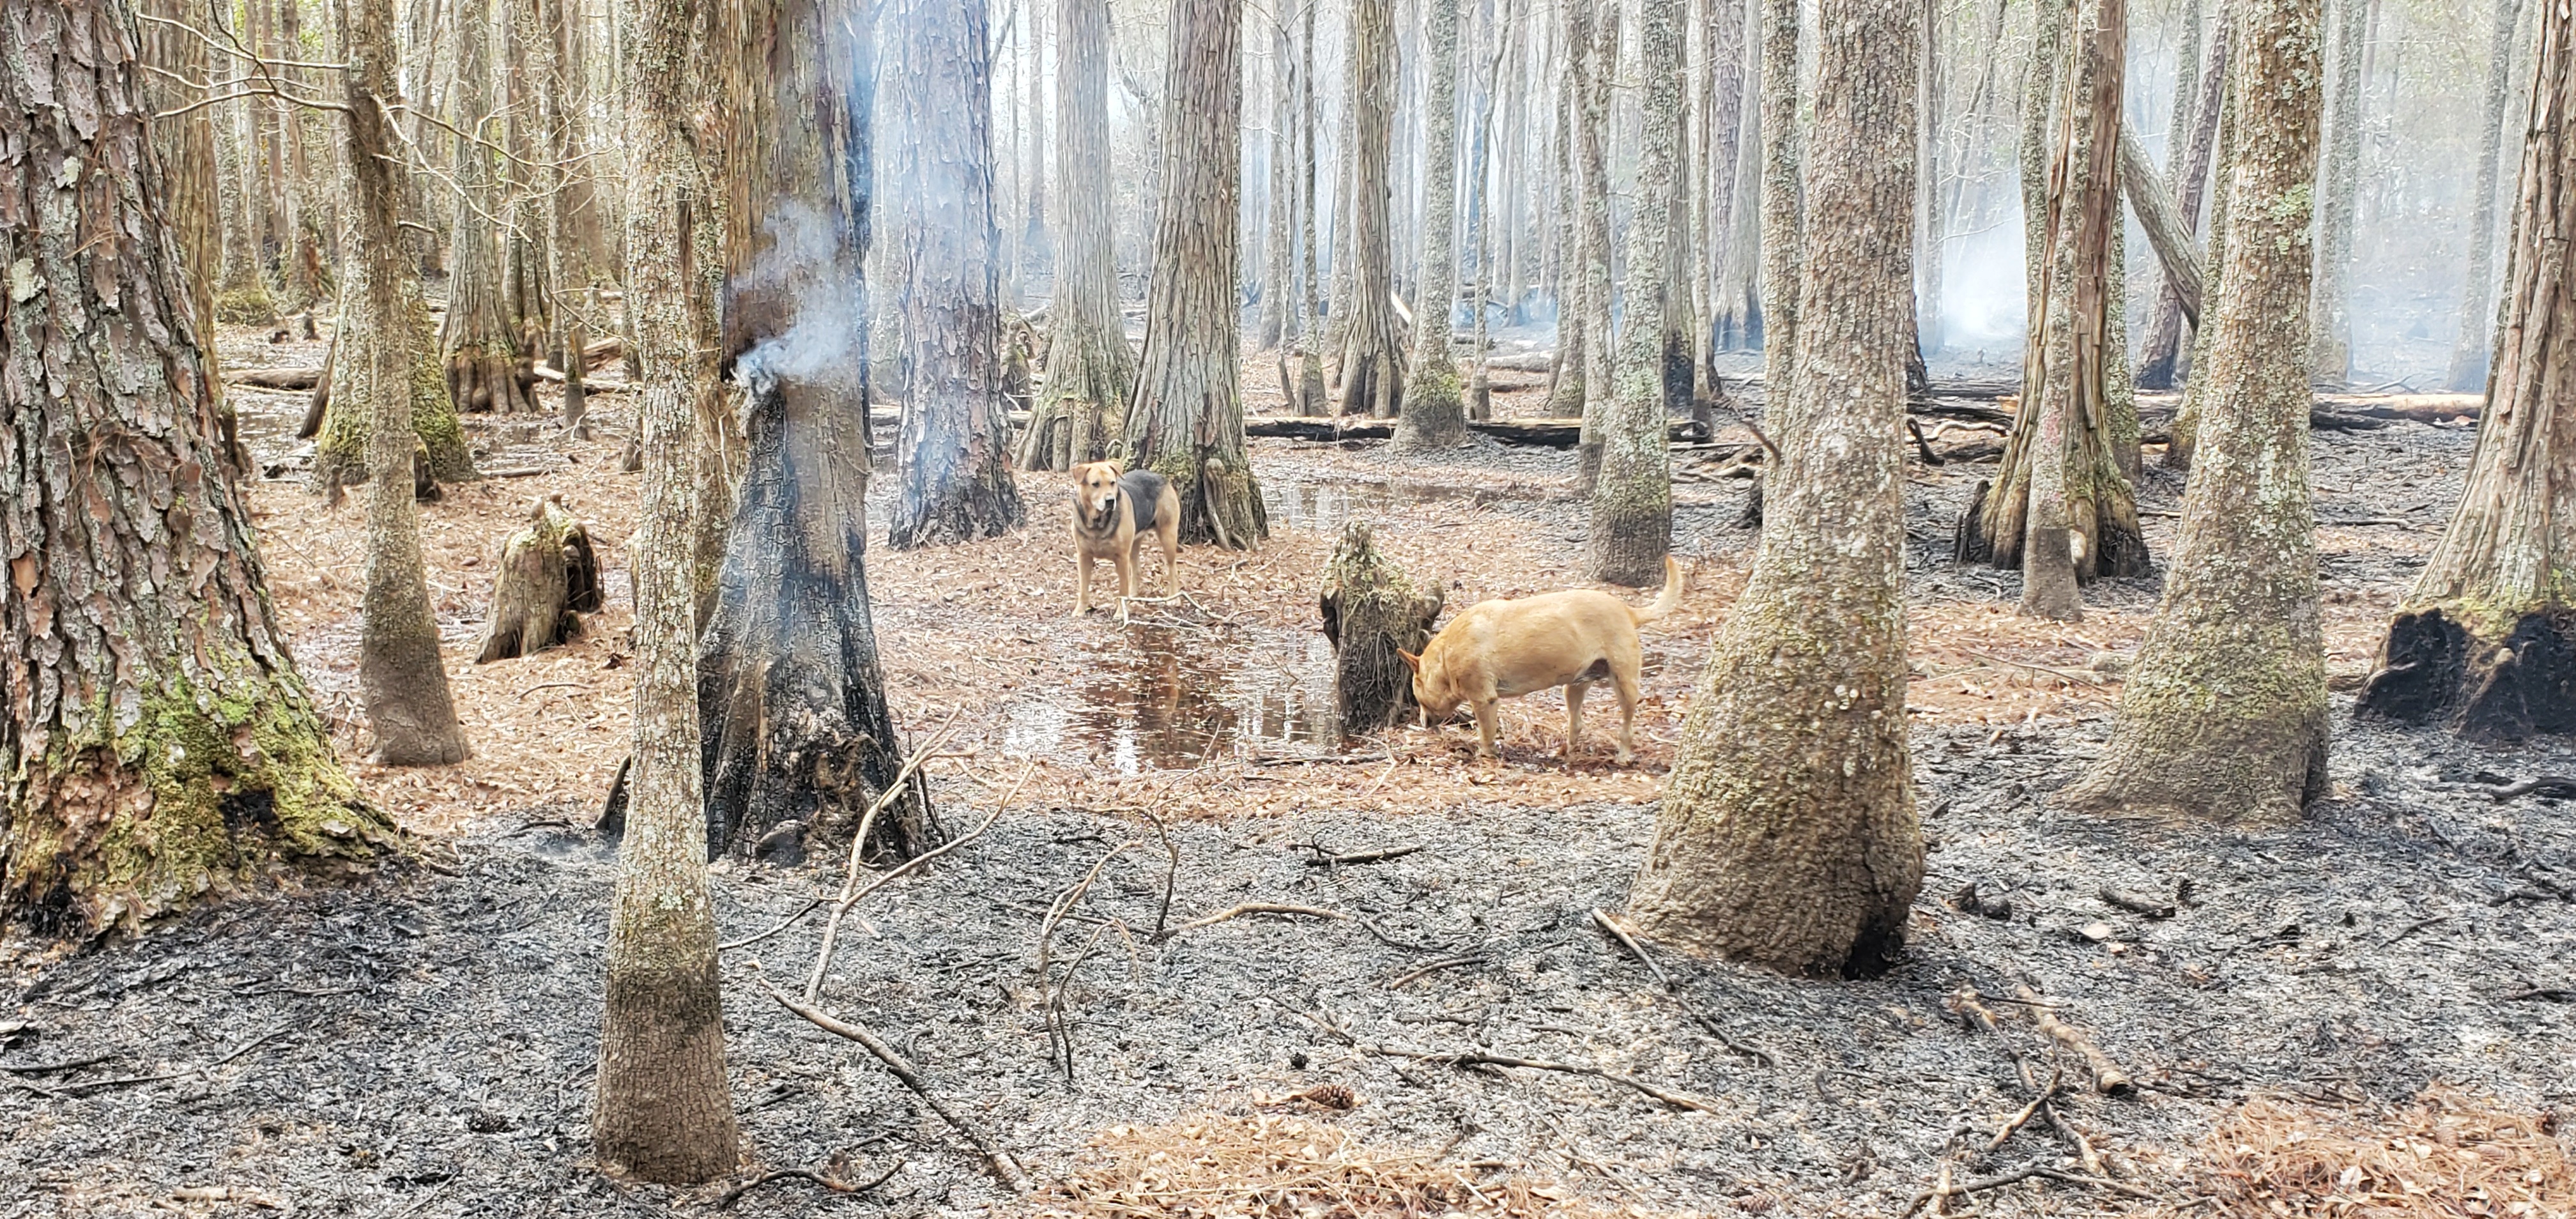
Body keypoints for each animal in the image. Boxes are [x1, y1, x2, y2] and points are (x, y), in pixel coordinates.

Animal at [1071, 456, 1179, 613]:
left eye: (1112, 483)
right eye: (1095, 484)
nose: (1110, 501)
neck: (1098, 523)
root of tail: (1159, 476)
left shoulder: (1121, 557)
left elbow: (1122, 590)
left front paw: (1120, 613)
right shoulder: (1083, 556)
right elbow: (1083, 589)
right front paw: (1079, 611)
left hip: (1168, 536)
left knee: (1172, 569)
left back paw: (1173, 597)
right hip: (1135, 543)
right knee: (1137, 570)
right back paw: (1133, 596)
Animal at [1401, 559, 1679, 763]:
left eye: (1418, 697)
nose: (1422, 723)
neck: (1446, 656)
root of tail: (1627, 611)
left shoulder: (1484, 700)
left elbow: (1486, 734)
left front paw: (1487, 756)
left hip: (1624, 685)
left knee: (1627, 728)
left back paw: (1622, 757)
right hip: (1574, 687)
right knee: (1576, 725)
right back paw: (1564, 753)